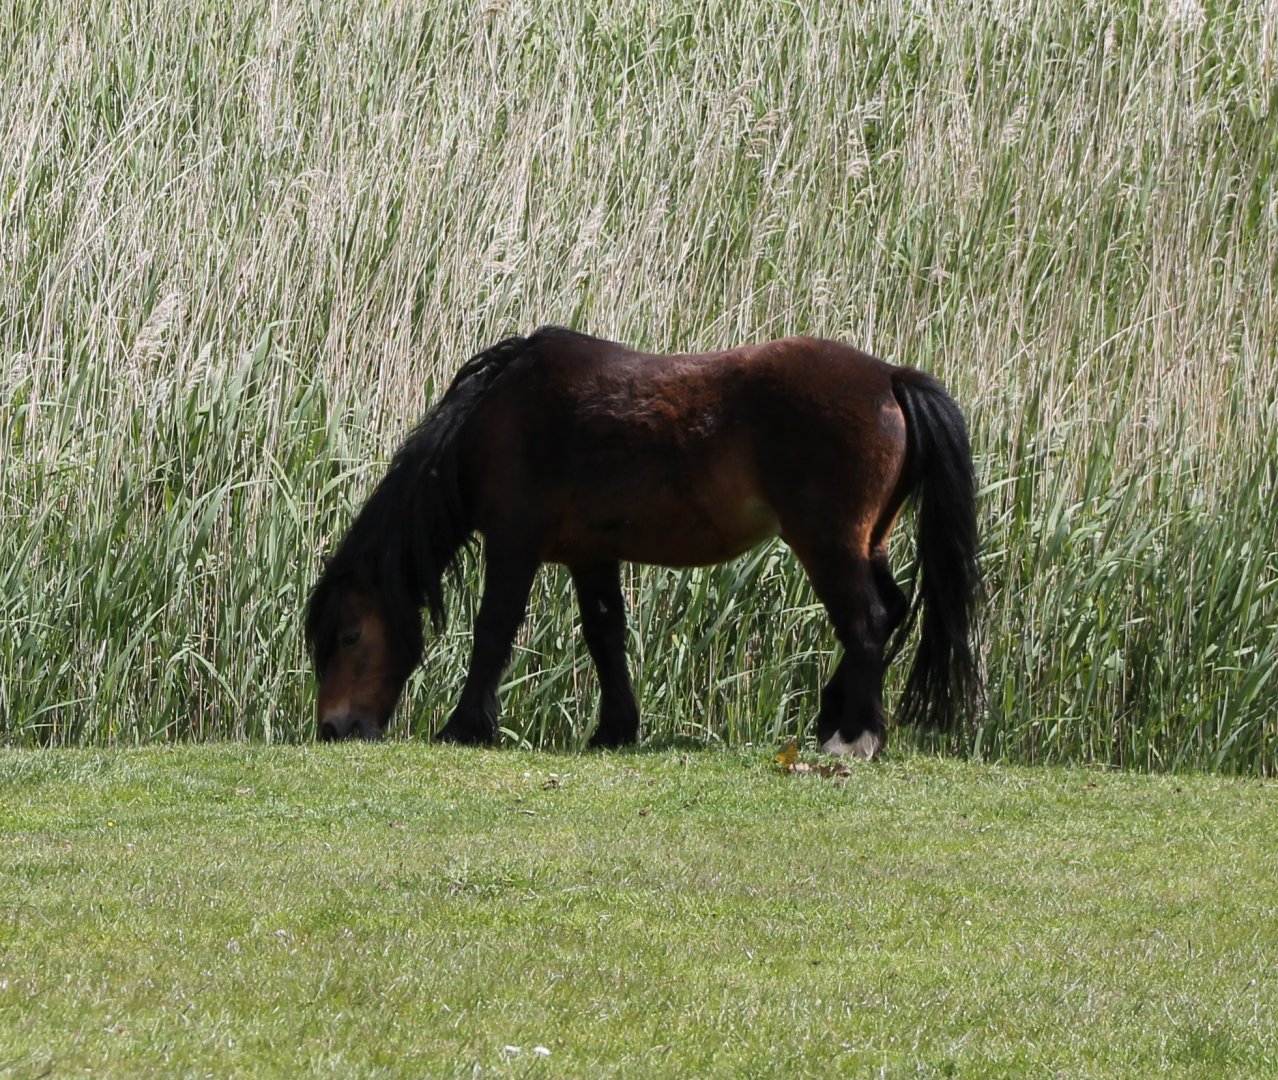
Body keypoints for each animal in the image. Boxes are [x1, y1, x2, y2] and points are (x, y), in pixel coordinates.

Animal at [305, 326, 980, 757]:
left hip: (829, 544)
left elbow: (494, 629)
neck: (493, 422)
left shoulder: (513, 543)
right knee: (892, 612)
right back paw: (833, 715)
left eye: (349, 635)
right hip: (869, 542)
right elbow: (606, 636)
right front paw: (614, 730)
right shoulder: (590, 555)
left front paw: (466, 726)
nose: (335, 728)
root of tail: (890, 378)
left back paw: (854, 736)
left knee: (867, 622)